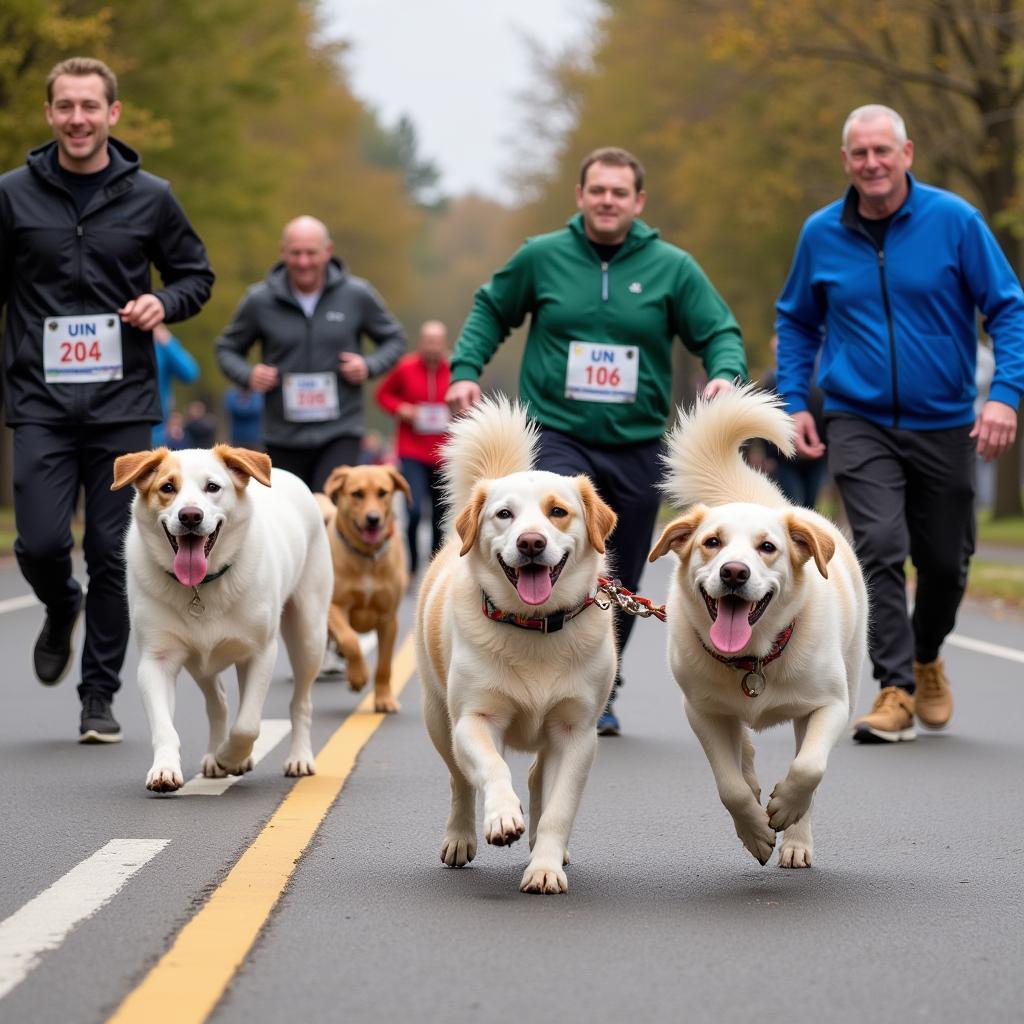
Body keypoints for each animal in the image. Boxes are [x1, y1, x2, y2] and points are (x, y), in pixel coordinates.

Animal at [647, 387, 864, 868]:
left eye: (767, 547)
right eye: (712, 542)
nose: (734, 572)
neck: (755, 658)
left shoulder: (831, 706)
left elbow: (808, 768)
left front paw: (784, 809)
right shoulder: (702, 711)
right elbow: (729, 786)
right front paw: (755, 832)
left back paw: (797, 842)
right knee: (742, 752)